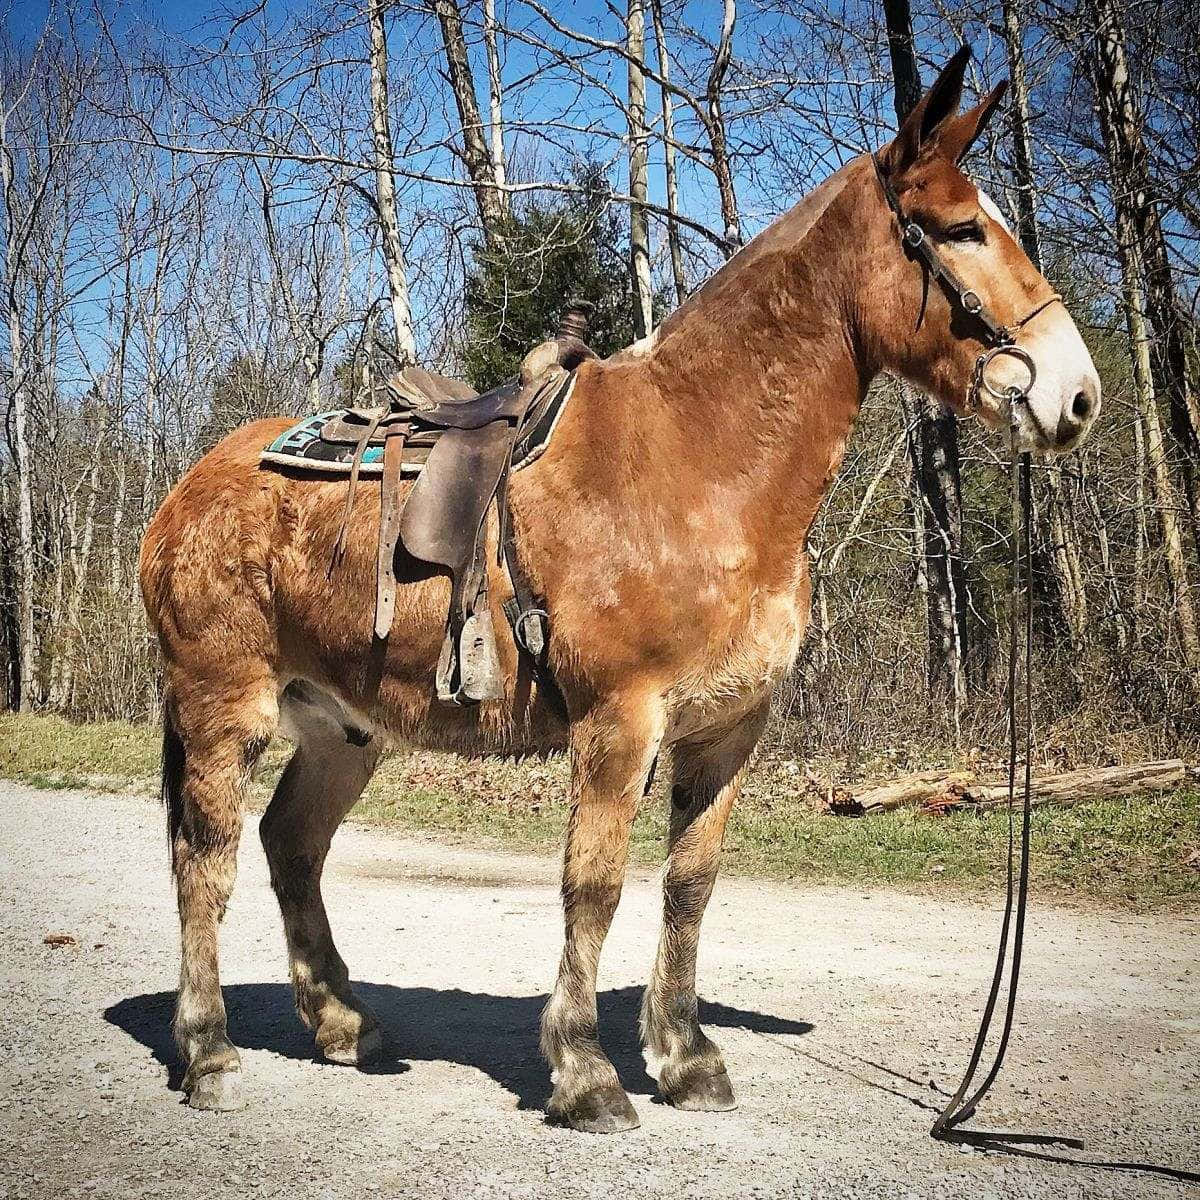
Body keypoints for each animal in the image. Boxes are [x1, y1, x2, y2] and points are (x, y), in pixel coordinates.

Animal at [139, 49, 1099, 1131]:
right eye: (963, 228)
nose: (1075, 393)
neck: (699, 460)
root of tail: (188, 489)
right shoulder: (619, 720)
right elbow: (592, 885)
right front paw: (586, 1070)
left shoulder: (726, 730)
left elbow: (690, 886)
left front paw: (684, 1056)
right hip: (226, 708)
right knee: (206, 860)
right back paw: (210, 1051)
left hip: (344, 730)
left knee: (291, 847)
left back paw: (341, 1024)